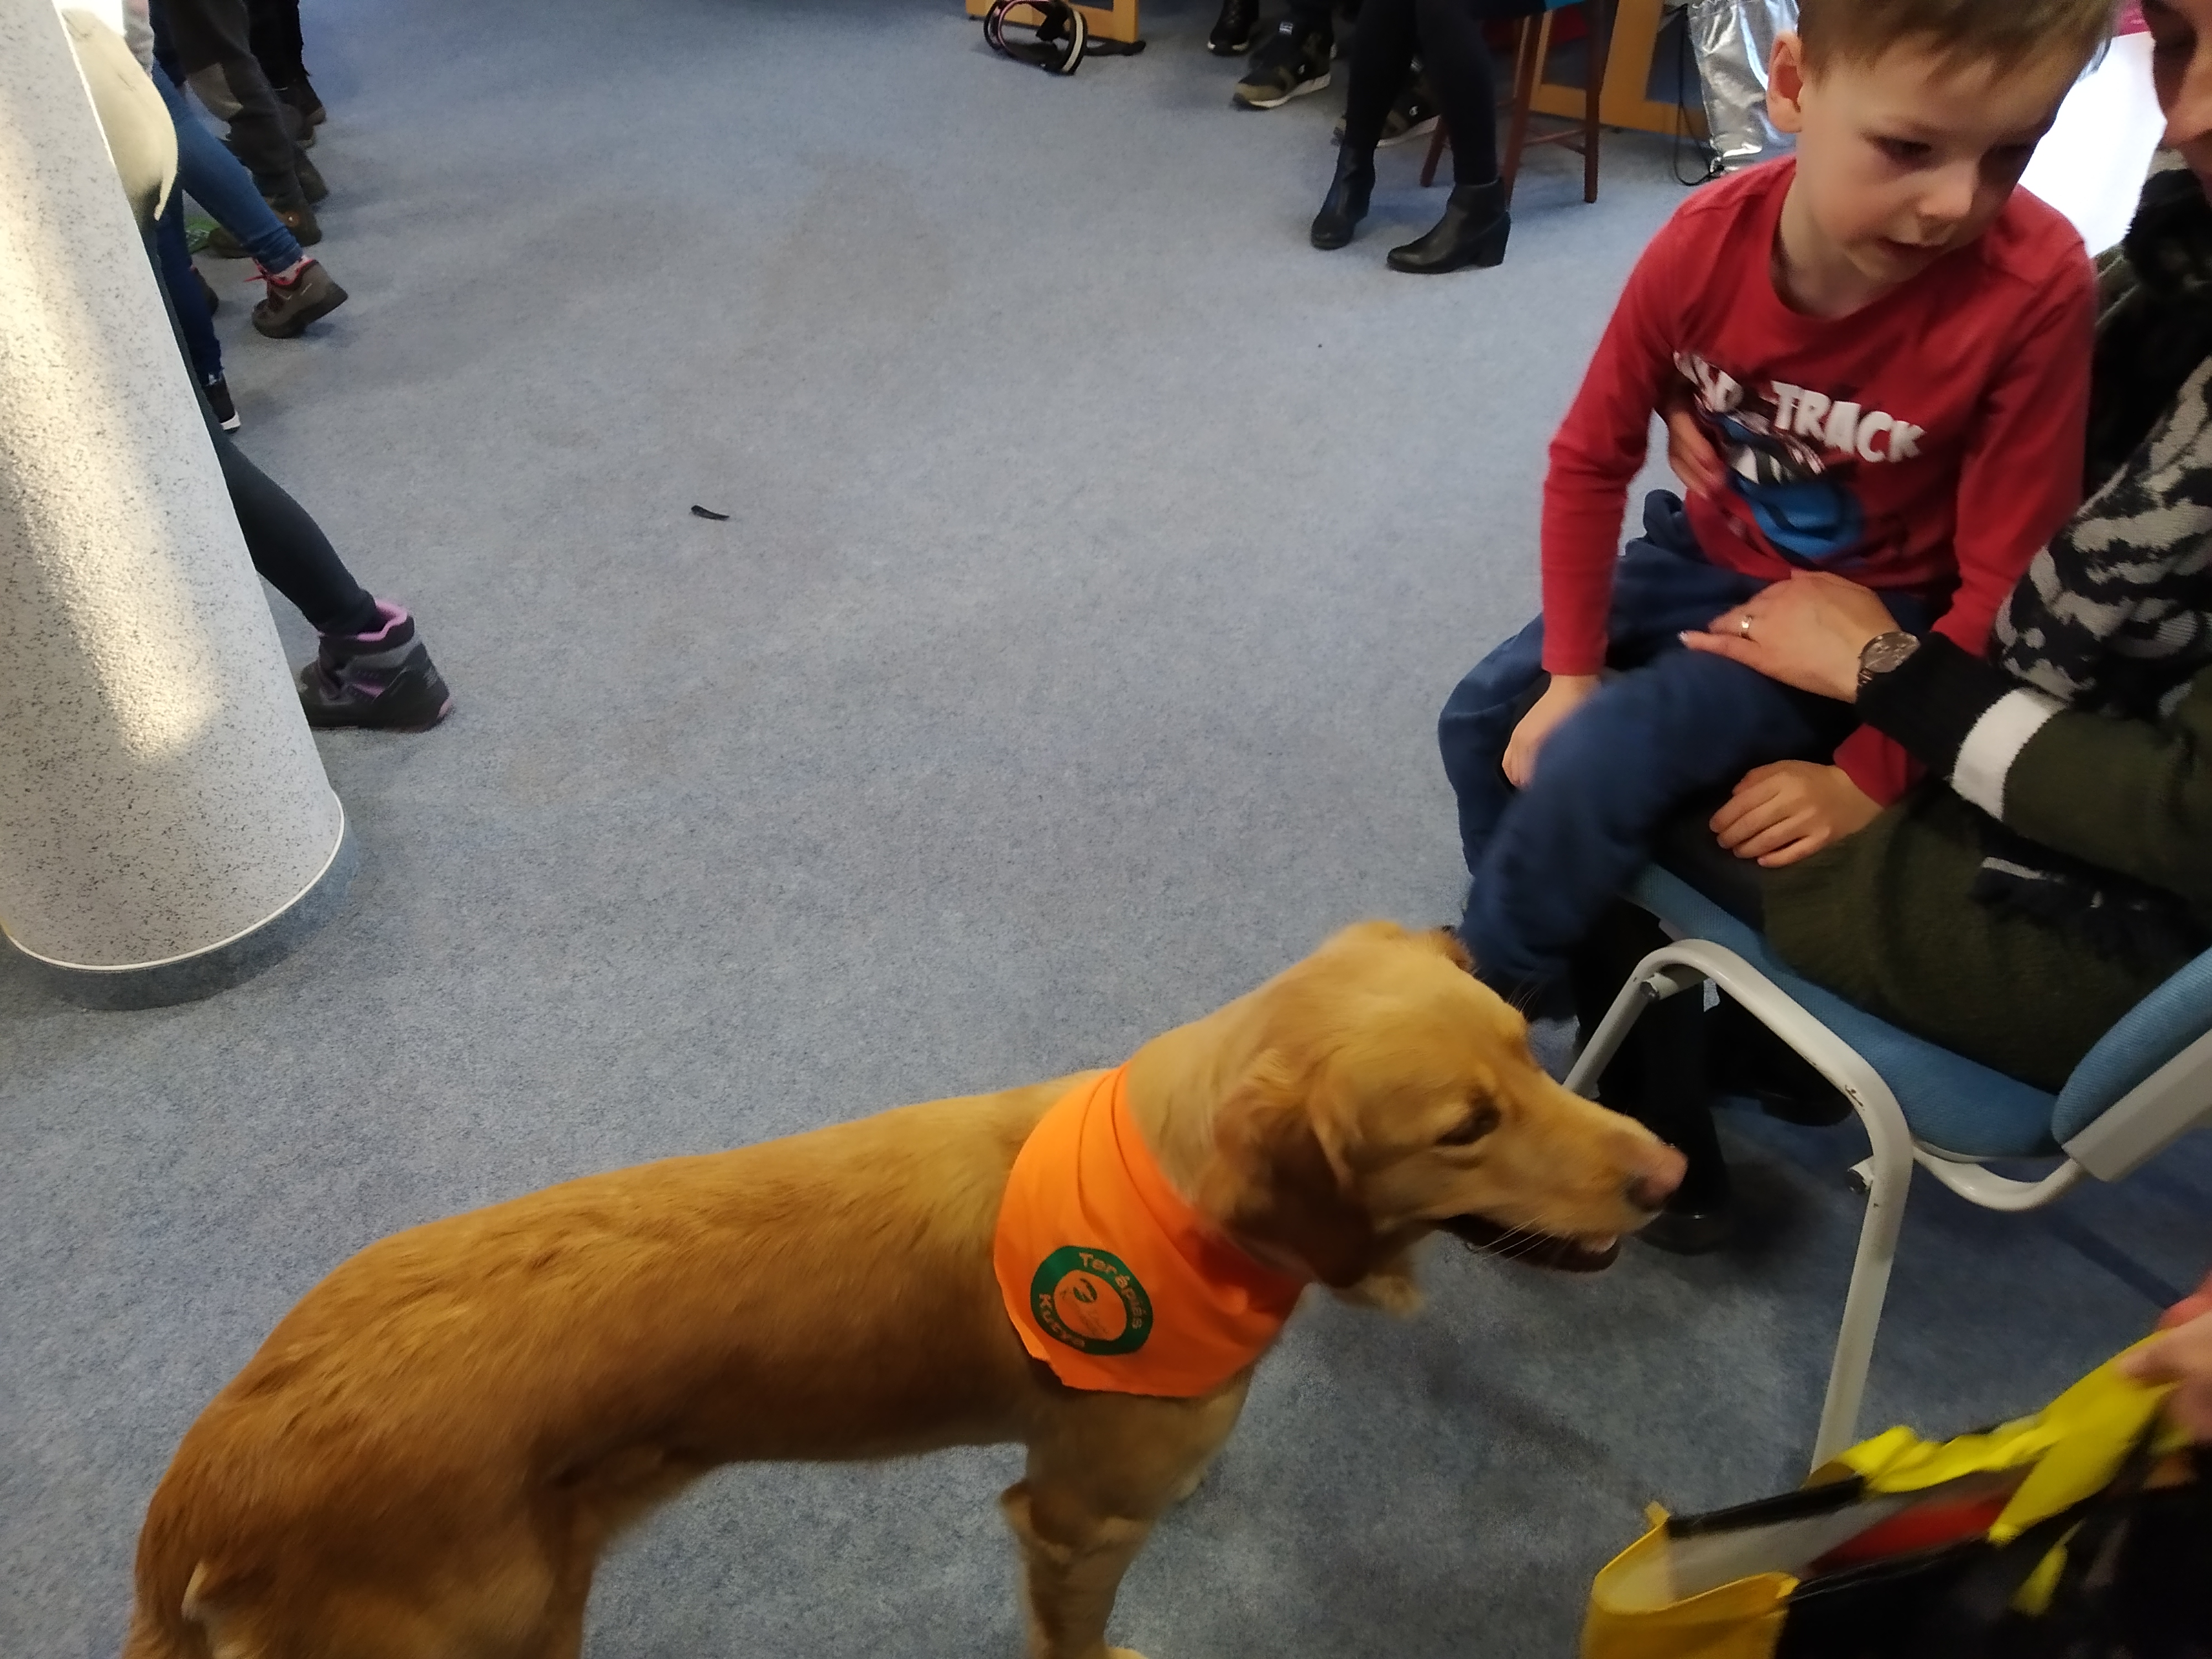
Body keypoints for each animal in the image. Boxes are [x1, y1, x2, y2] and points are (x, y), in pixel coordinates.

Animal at [126, 921, 1682, 1659]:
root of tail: (212, 1469)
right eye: (1464, 1127)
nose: (1668, 1171)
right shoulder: (1073, 1521)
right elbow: (1074, 1629)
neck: (1172, 1188)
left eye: (1529, 1047)